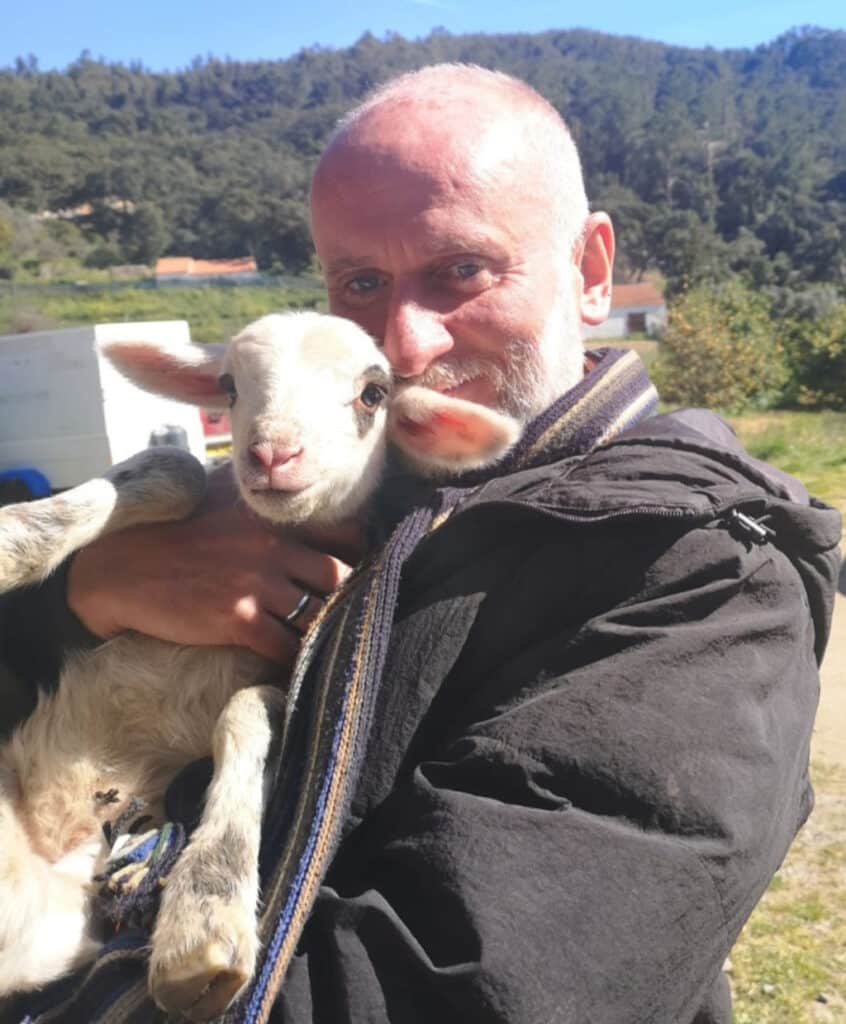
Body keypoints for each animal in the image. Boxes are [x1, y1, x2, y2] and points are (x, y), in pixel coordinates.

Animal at [0, 311, 519, 1021]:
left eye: (373, 394)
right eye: (229, 387)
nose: (272, 454)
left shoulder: (284, 666)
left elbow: (247, 711)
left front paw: (204, 913)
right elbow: (176, 466)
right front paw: (11, 541)